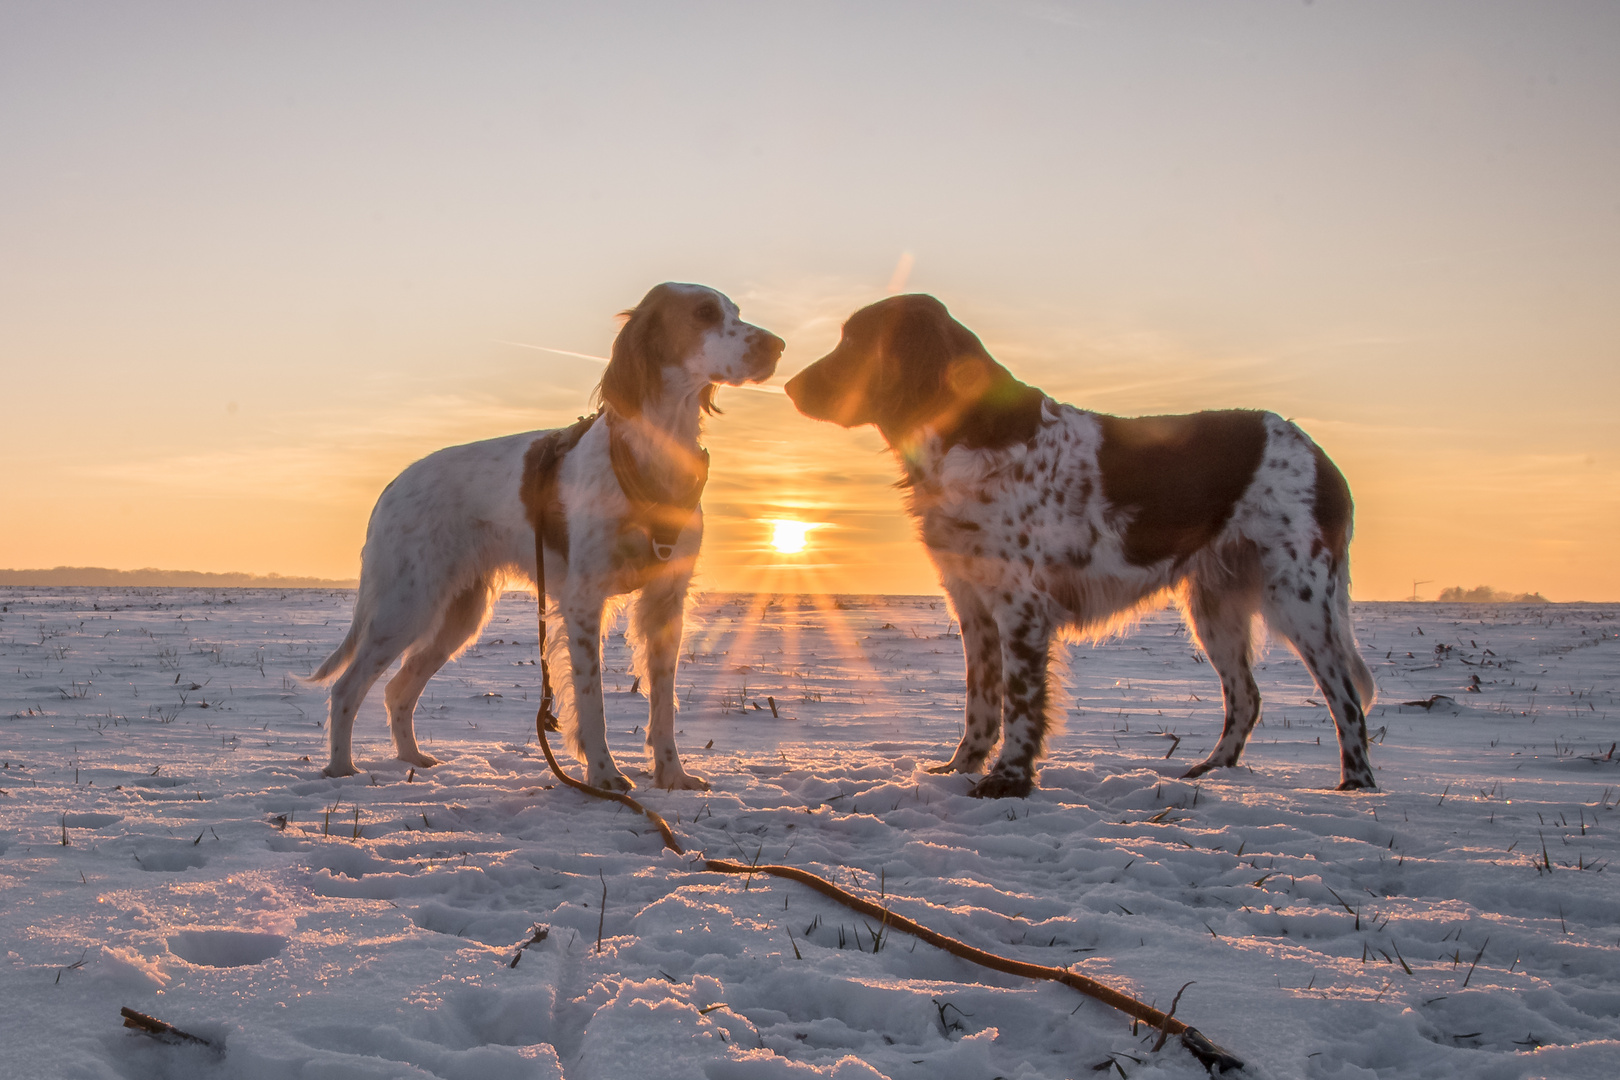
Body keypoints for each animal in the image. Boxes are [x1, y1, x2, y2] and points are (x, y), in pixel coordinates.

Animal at [314, 283, 784, 790]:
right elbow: (592, 702)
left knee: (399, 689)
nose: (777, 346)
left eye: (734, 310)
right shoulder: (583, 600)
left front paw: (672, 775)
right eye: (703, 313)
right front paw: (604, 776)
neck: (650, 455)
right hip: (406, 605)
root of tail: (393, 486)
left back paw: (412, 758)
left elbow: (663, 706)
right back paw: (341, 768)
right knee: (347, 687)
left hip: (459, 614)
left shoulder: (665, 600)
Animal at [790, 297, 1373, 803]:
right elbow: (981, 702)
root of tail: (1318, 453)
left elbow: (1021, 703)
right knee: (1247, 697)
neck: (971, 436)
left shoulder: (1022, 606)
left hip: (1298, 599)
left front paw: (1008, 780)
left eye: (854, 343)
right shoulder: (973, 602)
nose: (791, 387)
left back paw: (1357, 786)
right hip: (1213, 605)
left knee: (1345, 698)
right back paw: (1212, 771)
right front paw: (961, 768)